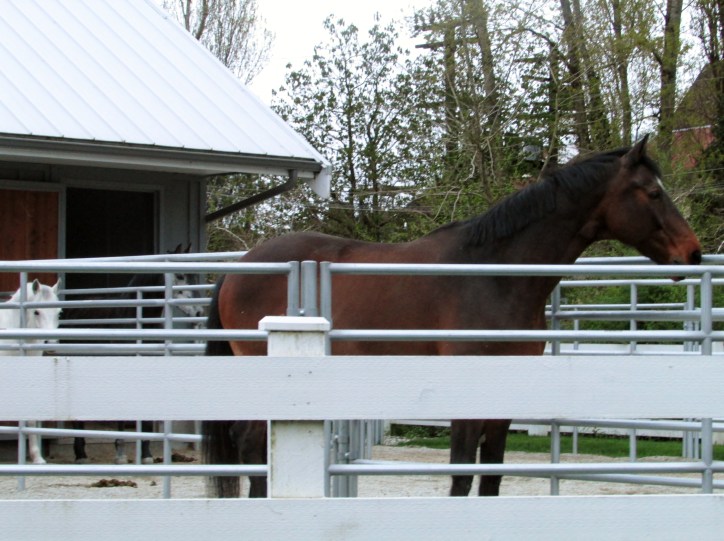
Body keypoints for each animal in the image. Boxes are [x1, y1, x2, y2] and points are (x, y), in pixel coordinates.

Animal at [202, 137, 701, 498]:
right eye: (653, 193)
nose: (693, 253)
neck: (495, 275)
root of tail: (240, 267)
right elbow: (461, 475)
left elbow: (492, 476)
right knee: (250, 444)